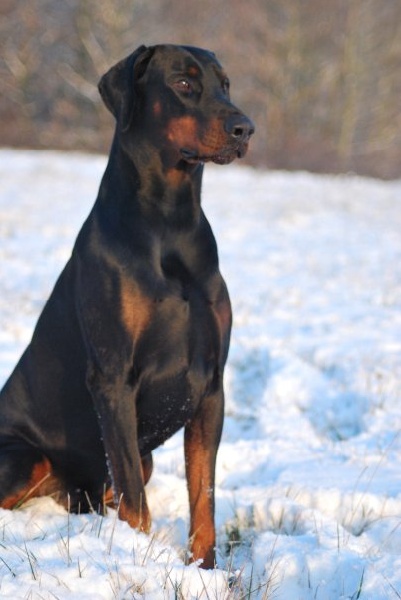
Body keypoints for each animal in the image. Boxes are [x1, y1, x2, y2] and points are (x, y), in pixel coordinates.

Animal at [0, 43, 253, 568]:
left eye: (226, 85)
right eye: (183, 83)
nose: (246, 128)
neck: (170, 221)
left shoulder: (210, 386)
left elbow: (204, 497)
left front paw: (205, 572)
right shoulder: (113, 378)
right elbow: (136, 501)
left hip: (136, 461)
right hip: (24, 456)